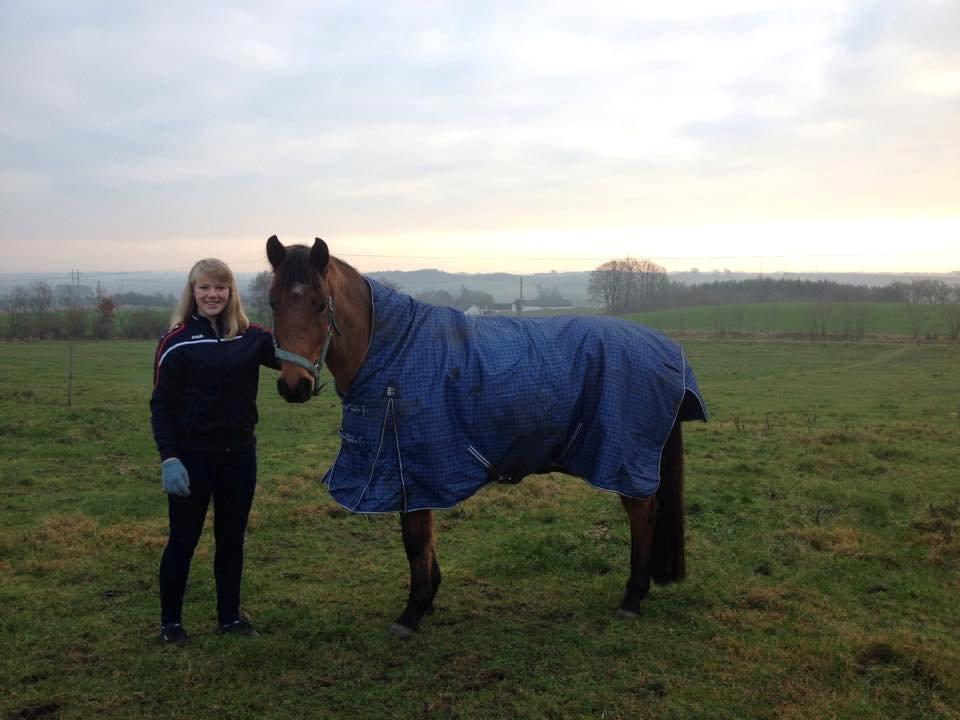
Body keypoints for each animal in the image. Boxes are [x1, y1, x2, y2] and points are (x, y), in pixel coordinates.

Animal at [262, 235, 704, 636]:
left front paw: (413, 611)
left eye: (321, 304)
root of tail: (668, 351)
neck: (393, 352)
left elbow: (414, 539)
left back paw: (632, 597)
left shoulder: (414, 466)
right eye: (273, 303)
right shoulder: (412, 473)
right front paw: (429, 596)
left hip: (624, 460)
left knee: (643, 516)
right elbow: (423, 538)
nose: (293, 386)